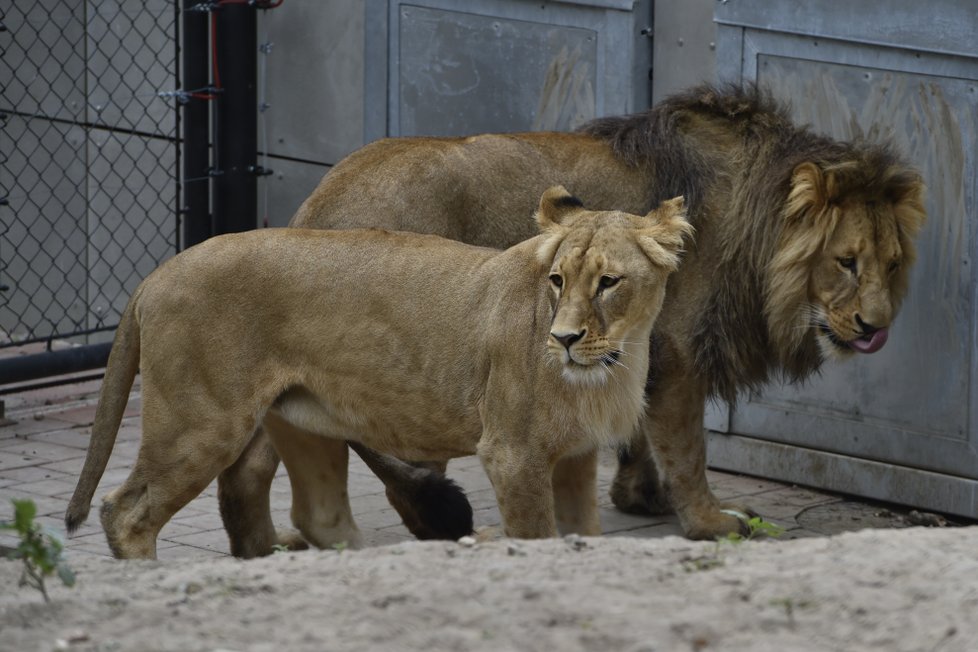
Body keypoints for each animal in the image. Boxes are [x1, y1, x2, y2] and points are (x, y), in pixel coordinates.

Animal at [65, 186, 692, 556]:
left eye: (609, 282)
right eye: (558, 280)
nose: (562, 340)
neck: (616, 360)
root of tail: (159, 271)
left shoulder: (577, 457)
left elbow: (584, 535)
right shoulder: (513, 455)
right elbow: (537, 538)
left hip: (301, 420)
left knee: (303, 509)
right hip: (199, 423)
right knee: (126, 513)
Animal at [217, 80, 928, 552]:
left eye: (892, 263)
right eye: (845, 262)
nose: (875, 328)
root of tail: (317, 202)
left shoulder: (637, 340)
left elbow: (635, 421)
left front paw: (637, 495)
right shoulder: (679, 350)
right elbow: (688, 446)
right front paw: (708, 522)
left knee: (249, 465)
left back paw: (262, 551)